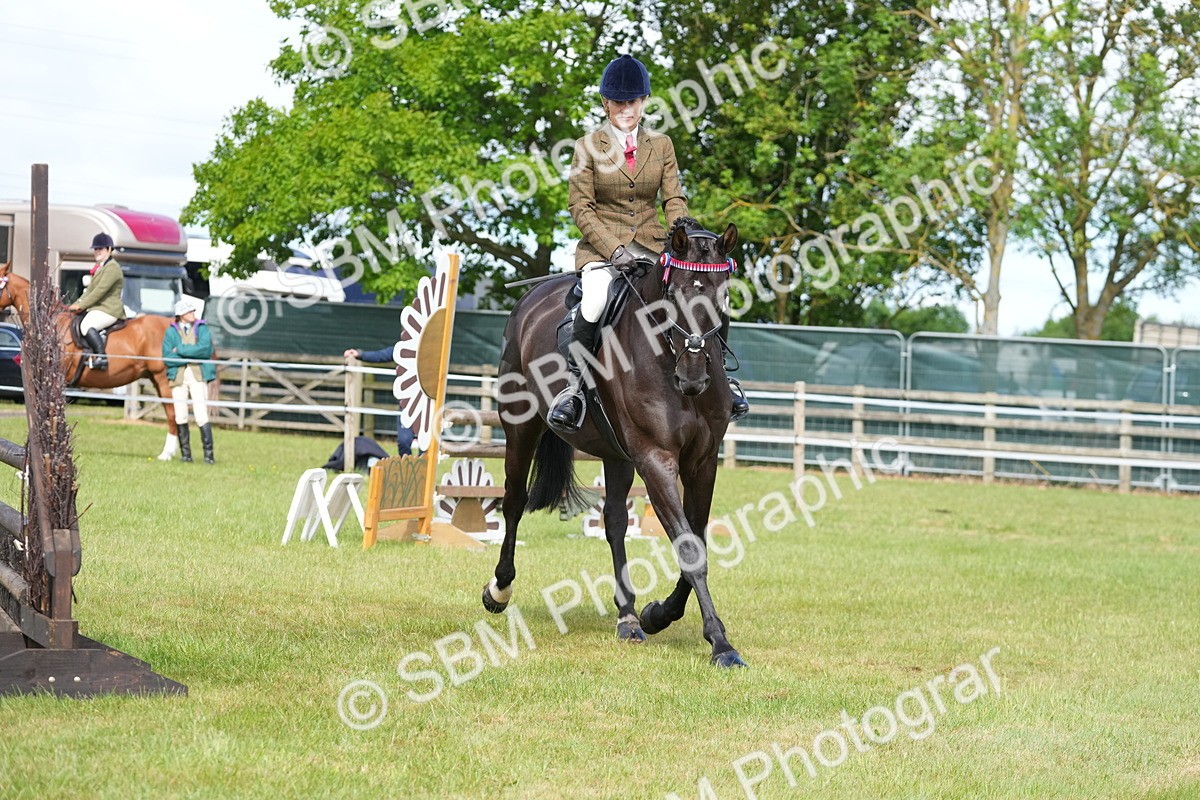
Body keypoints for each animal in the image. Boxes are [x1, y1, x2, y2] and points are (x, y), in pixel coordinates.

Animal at [483, 217, 747, 668]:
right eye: (673, 295)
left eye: (722, 295)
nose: (693, 377)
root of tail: (531, 300)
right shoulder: (656, 458)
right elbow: (689, 549)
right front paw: (721, 645)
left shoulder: (702, 461)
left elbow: (696, 540)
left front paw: (658, 614)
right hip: (521, 427)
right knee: (514, 502)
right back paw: (498, 591)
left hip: (618, 454)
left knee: (615, 522)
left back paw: (628, 617)